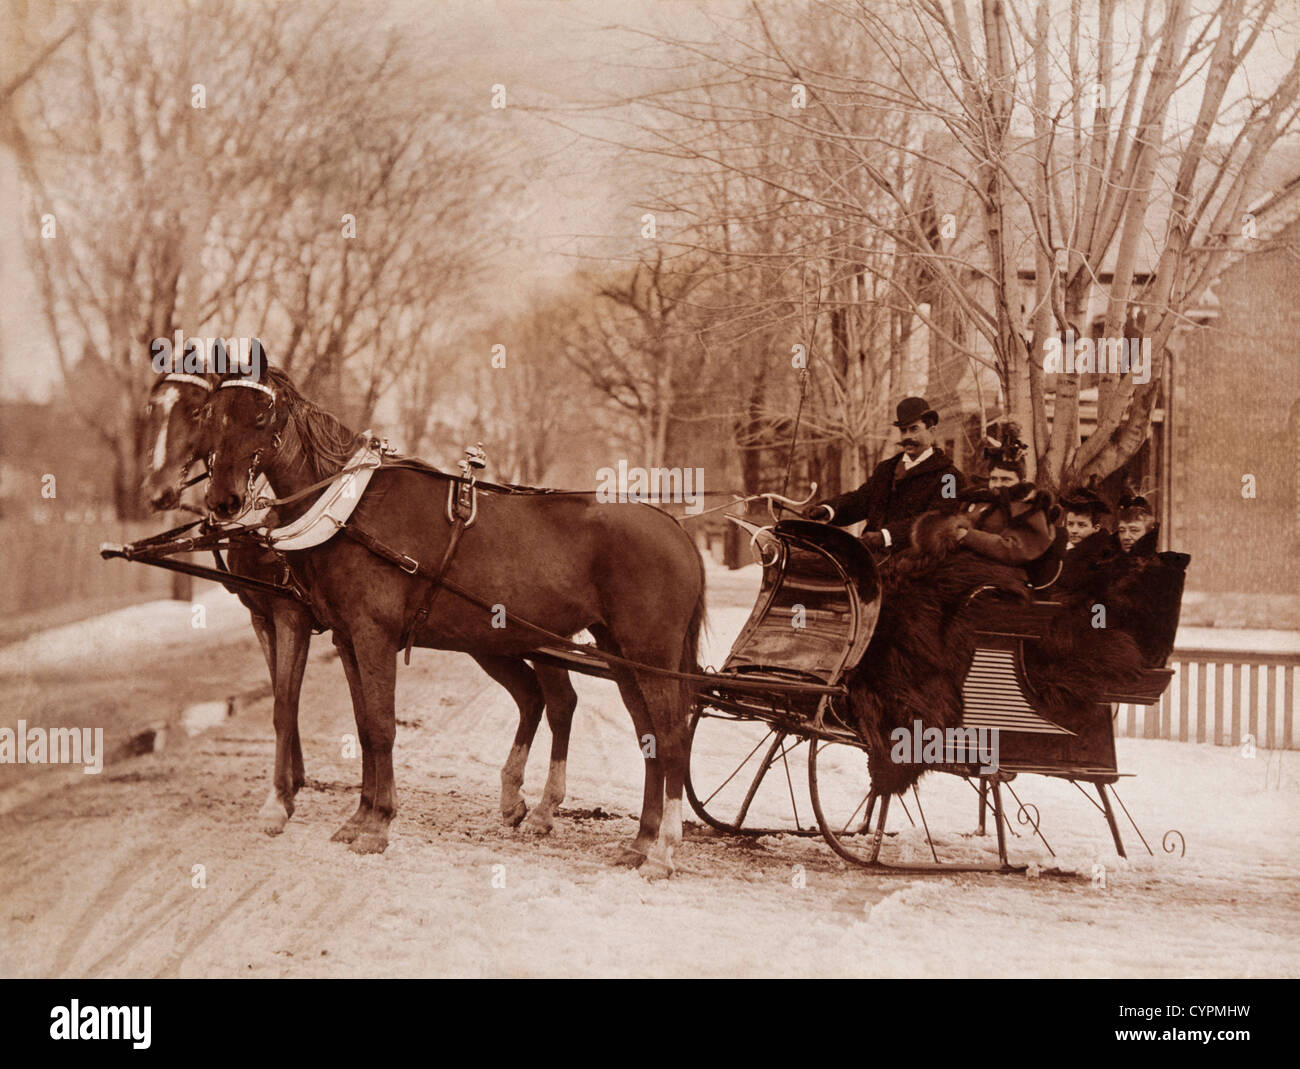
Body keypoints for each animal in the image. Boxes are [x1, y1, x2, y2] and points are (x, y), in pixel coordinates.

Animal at [138, 369, 579, 847]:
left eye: (196, 410)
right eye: (153, 407)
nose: (158, 491)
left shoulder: (294, 615)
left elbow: (290, 706)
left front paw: (282, 801)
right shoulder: (275, 619)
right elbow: (310, 705)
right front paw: (298, 788)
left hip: (538, 640)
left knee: (561, 702)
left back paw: (545, 807)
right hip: (489, 642)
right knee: (530, 697)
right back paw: (514, 799)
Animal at [204, 364, 707, 873]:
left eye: (262, 413)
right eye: (212, 413)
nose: (223, 499)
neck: (351, 510)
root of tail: (674, 527)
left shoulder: (372, 635)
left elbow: (382, 726)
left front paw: (378, 824)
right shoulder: (347, 640)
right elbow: (363, 726)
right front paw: (358, 818)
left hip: (650, 655)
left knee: (670, 737)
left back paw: (663, 847)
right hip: (620, 656)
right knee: (646, 737)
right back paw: (639, 842)